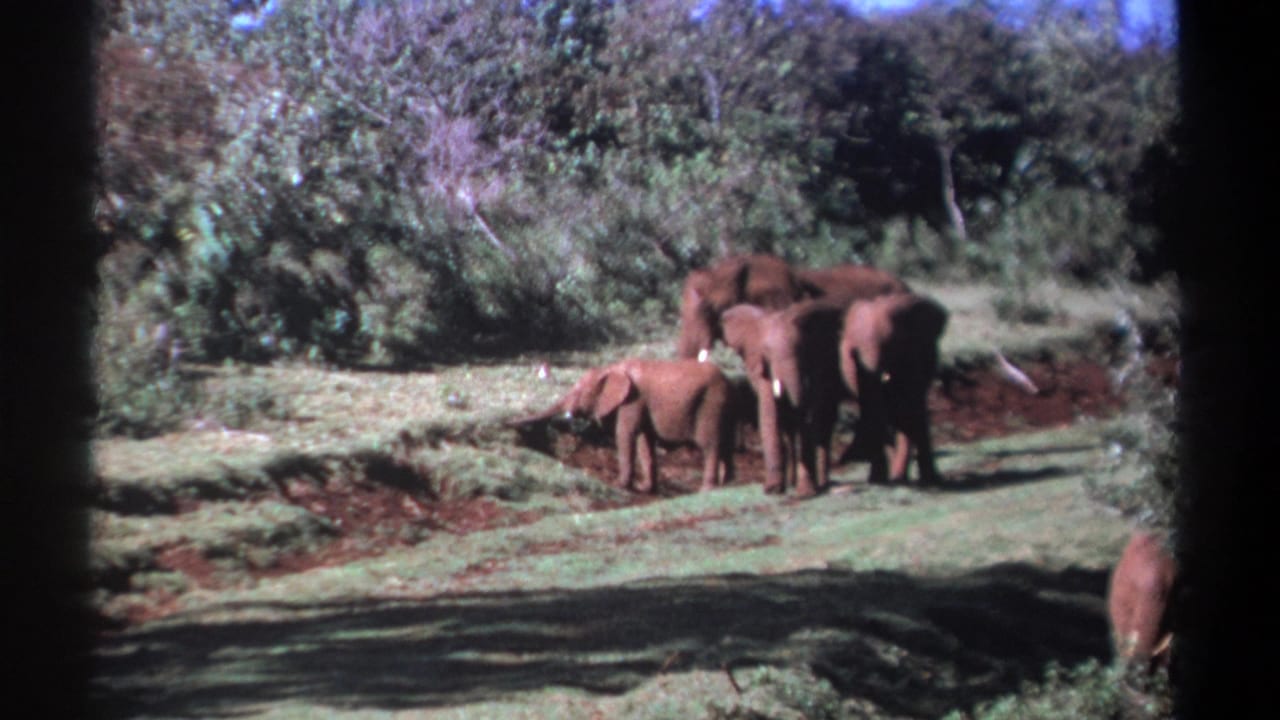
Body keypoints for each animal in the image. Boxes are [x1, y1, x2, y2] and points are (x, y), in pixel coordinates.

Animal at [508, 358, 736, 493]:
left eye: (581, 392)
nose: (508, 424)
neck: (611, 369)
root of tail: (728, 381)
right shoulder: (640, 404)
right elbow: (645, 440)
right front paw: (646, 488)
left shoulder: (632, 401)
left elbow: (626, 435)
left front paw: (620, 486)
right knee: (726, 443)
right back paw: (727, 484)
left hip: (710, 404)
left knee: (710, 445)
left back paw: (707, 489)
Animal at [721, 298, 850, 496]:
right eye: (767, 352)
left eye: (802, 349)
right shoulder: (762, 370)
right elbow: (770, 415)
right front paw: (773, 490)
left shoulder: (815, 369)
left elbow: (810, 419)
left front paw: (806, 493)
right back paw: (794, 483)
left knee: (824, 427)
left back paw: (822, 484)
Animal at [838, 292, 948, 485]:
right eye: (852, 352)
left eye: (889, 346)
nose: (844, 460)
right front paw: (878, 480)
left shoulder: (910, 354)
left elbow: (911, 405)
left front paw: (930, 481)